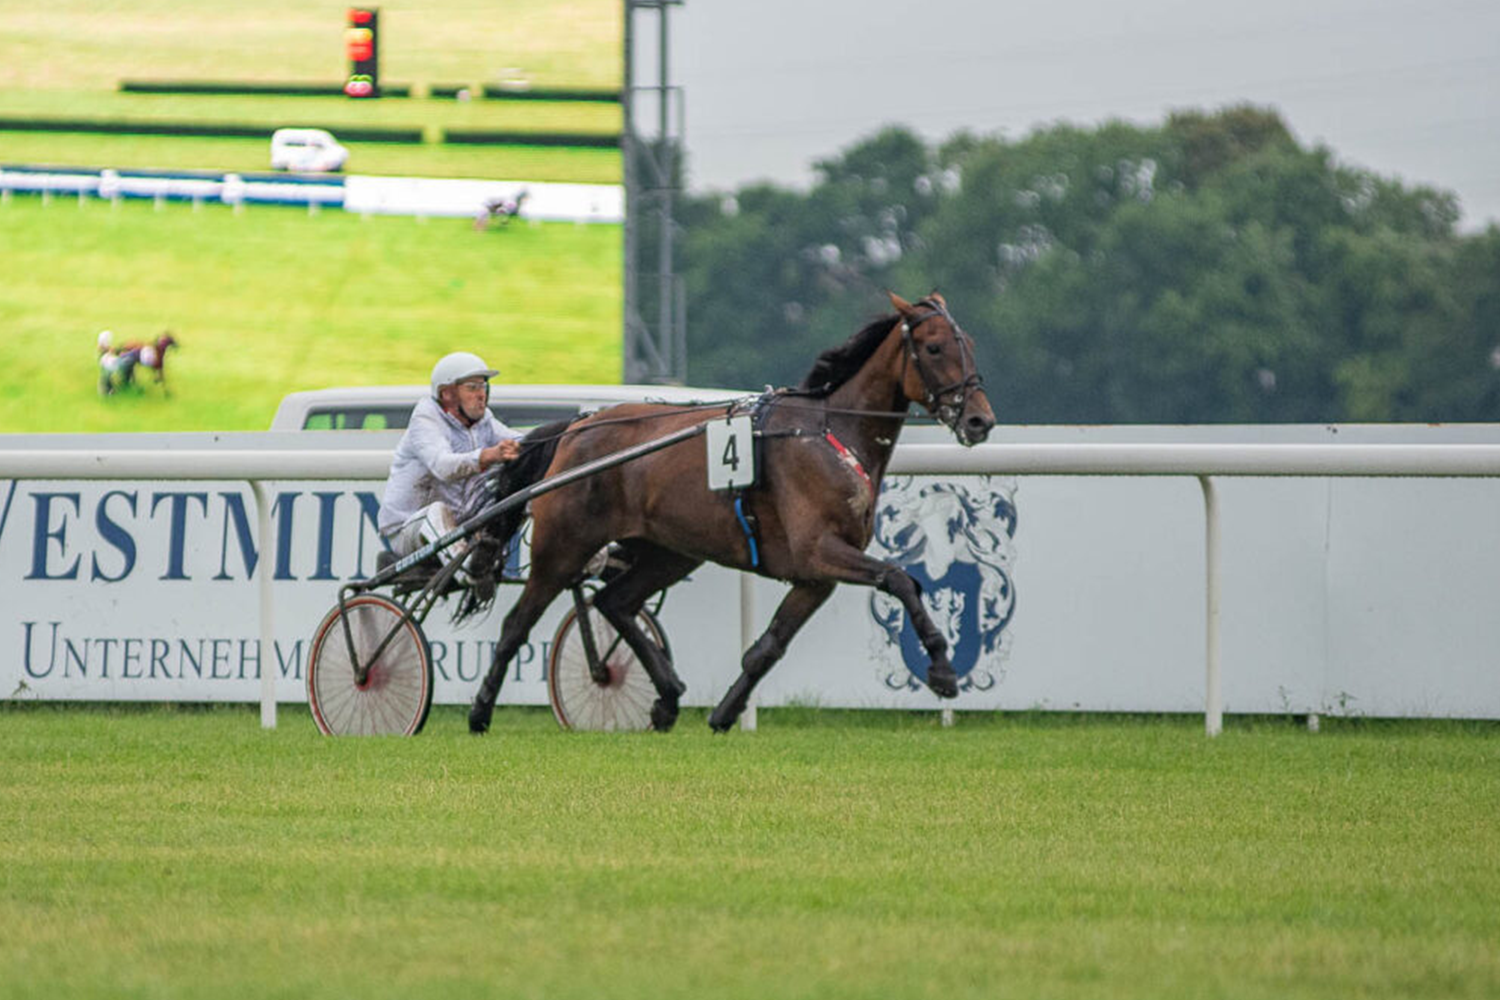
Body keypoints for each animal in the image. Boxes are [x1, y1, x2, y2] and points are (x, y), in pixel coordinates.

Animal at [468, 289, 996, 734]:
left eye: (969, 344)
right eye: (933, 348)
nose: (980, 420)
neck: (829, 434)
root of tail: (576, 428)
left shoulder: (815, 577)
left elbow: (768, 647)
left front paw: (724, 713)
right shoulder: (820, 550)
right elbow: (900, 579)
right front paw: (943, 670)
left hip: (668, 550)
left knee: (615, 603)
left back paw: (668, 696)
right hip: (564, 547)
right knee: (518, 625)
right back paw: (480, 712)